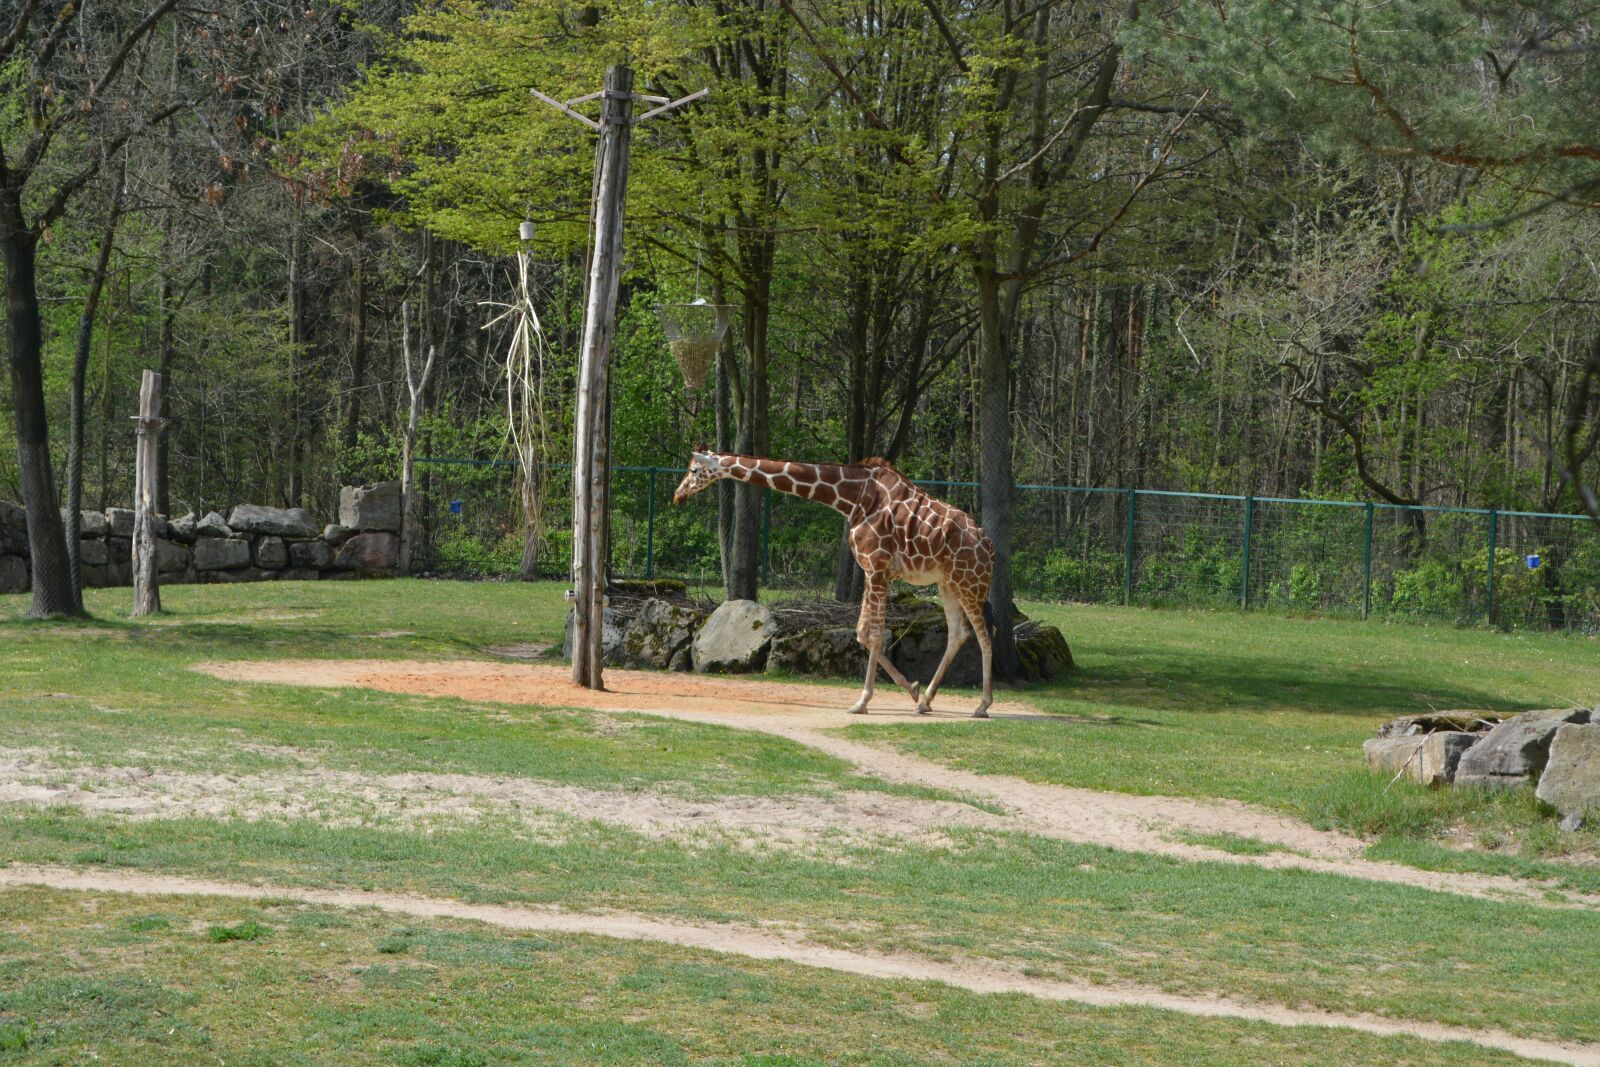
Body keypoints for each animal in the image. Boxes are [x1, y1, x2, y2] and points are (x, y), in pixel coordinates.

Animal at [673, 451, 995, 717]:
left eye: (693, 469)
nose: (678, 494)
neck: (852, 498)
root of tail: (988, 547)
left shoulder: (877, 568)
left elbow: (875, 635)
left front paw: (862, 702)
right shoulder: (870, 570)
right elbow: (862, 633)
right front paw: (912, 689)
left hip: (969, 582)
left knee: (984, 636)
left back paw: (982, 706)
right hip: (947, 583)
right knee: (958, 633)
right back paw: (926, 701)